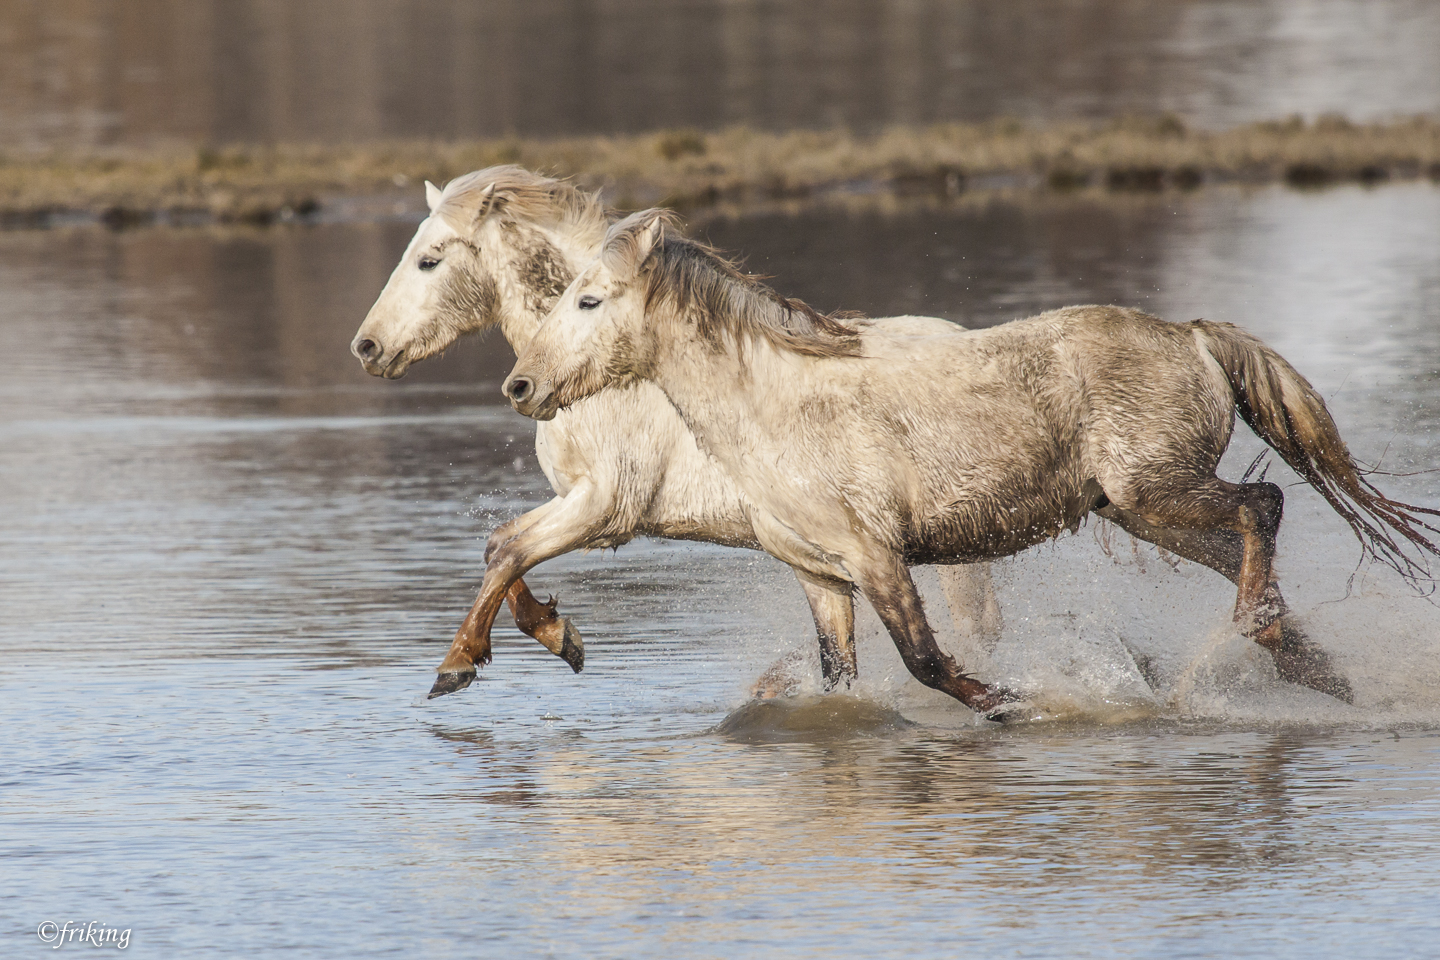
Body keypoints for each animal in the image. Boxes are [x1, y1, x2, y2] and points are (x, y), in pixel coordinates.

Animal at [350, 166, 1005, 699]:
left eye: (429, 259)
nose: (367, 347)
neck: (604, 378)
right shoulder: (579, 501)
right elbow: (500, 548)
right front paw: (560, 636)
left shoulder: (605, 505)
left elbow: (510, 551)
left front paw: (459, 665)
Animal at [503, 208, 1440, 716]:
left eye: (590, 300)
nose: (521, 386)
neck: (778, 405)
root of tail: (1194, 337)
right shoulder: (822, 573)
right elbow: (840, 677)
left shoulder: (878, 557)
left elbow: (923, 659)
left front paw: (1009, 703)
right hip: (1140, 509)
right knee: (1248, 541)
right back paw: (1306, 668)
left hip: (1158, 489)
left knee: (1262, 507)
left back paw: (1247, 639)